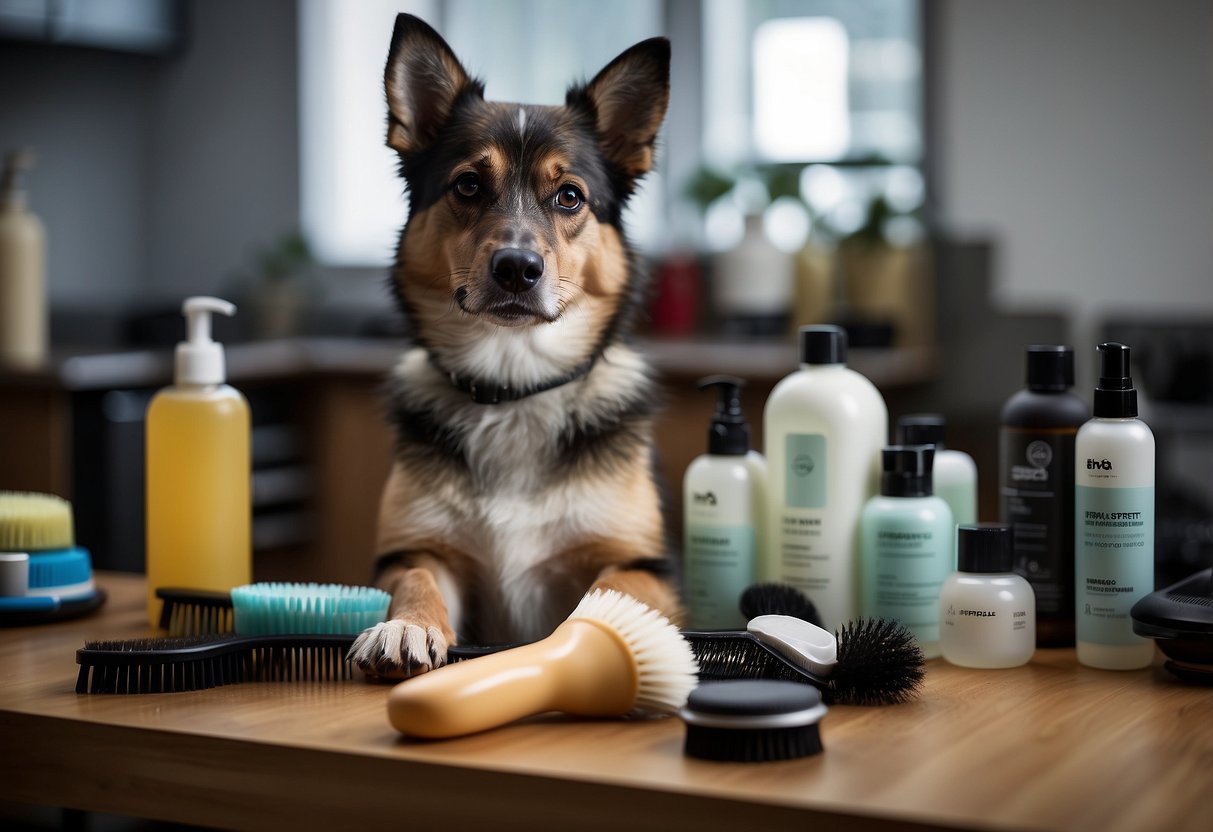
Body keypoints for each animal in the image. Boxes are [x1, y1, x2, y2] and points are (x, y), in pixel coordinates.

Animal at [351, 11, 684, 679]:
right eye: (468, 186)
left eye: (570, 196)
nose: (517, 268)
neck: (515, 386)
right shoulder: (417, 548)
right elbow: (418, 579)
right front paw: (405, 626)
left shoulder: (644, 564)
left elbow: (608, 593)